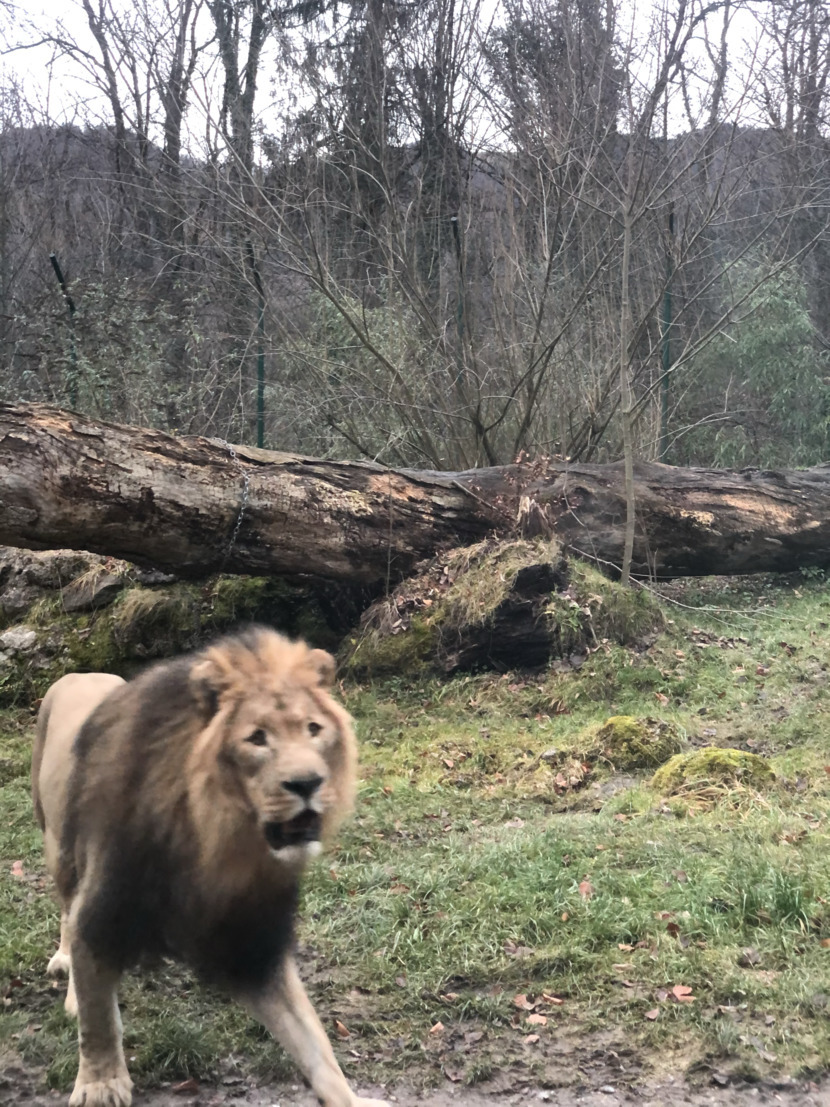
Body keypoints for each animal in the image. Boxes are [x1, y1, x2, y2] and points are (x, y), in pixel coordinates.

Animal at [33, 627, 390, 1107]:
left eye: (314, 730)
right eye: (257, 738)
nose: (308, 783)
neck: (216, 838)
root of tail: (81, 672)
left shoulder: (251, 939)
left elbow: (311, 1037)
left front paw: (348, 1096)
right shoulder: (105, 909)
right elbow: (98, 1021)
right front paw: (100, 1085)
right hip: (58, 846)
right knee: (67, 913)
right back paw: (66, 967)